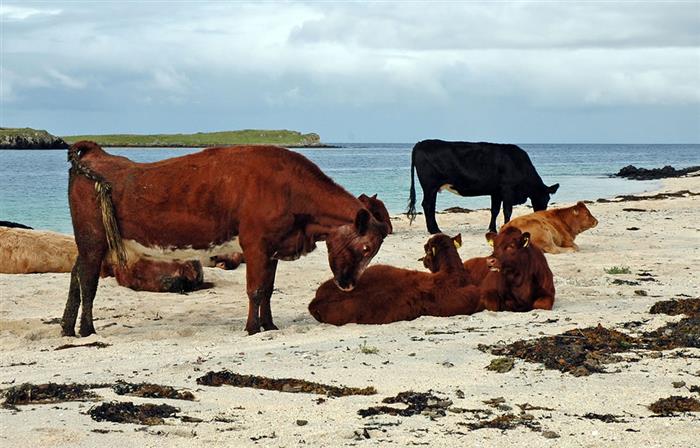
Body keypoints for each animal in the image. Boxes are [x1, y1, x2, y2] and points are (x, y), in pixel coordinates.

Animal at [63, 141, 388, 336]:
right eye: (365, 247)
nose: (349, 284)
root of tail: (96, 153)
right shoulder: (255, 244)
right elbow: (255, 290)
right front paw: (252, 328)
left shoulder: (273, 248)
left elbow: (268, 290)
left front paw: (269, 325)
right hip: (93, 239)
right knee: (88, 280)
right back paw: (87, 329)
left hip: (88, 242)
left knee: (76, 275)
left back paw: (67, 327)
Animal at [404, 141, 556, 234]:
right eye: (546, 199)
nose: (543, 216)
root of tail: (421, 143)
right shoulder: (507, 189)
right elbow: (507, 211)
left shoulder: (496, 192)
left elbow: (494, 210)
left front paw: (492, 229)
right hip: (430, 186)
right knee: (427, 205)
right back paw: (435, 230)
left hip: (432, 188)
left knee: (430, 205)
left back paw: (434, 229)